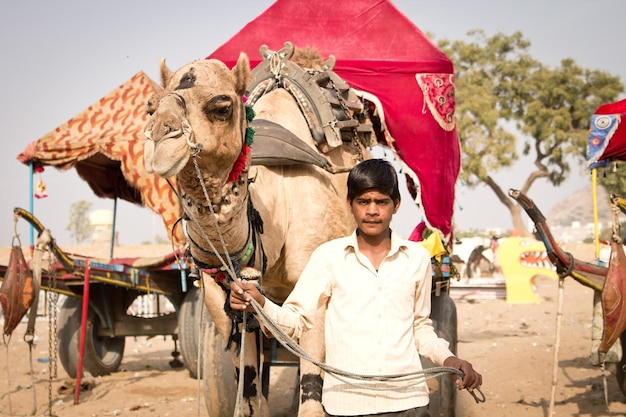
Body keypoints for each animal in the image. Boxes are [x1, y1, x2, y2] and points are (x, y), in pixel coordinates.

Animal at [143, 43, 370, 416]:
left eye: (221, 107)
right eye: (151, 106)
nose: (161, 139)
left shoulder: (317, 287)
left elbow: (312, 388)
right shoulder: (223, 295)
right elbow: (248, 389)